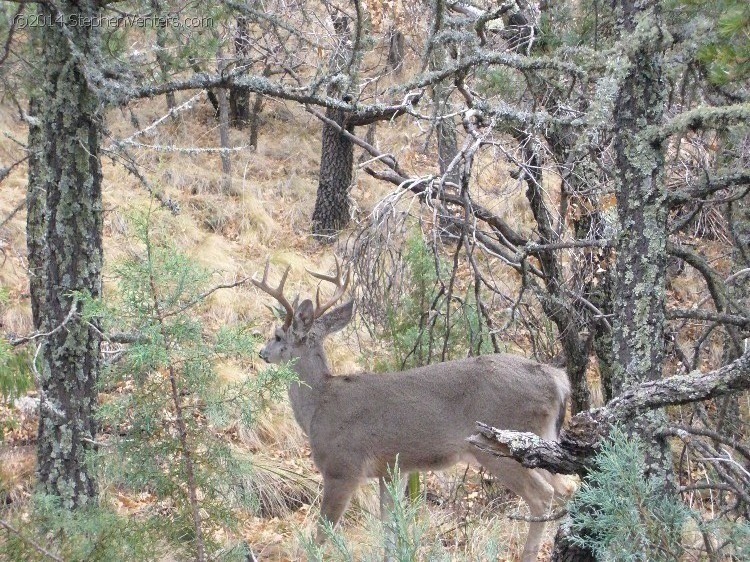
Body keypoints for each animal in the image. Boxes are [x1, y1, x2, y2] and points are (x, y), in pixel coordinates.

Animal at [254, 260, 576, 560]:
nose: (262, 353)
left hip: (501, 444)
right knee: (568, 488)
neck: (318, 406)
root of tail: (558, 380)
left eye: (278, 335)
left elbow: (322, 536)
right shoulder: (390, 470)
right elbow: (390, 530)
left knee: (543, 496)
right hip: (541, 445)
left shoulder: (342, 467)